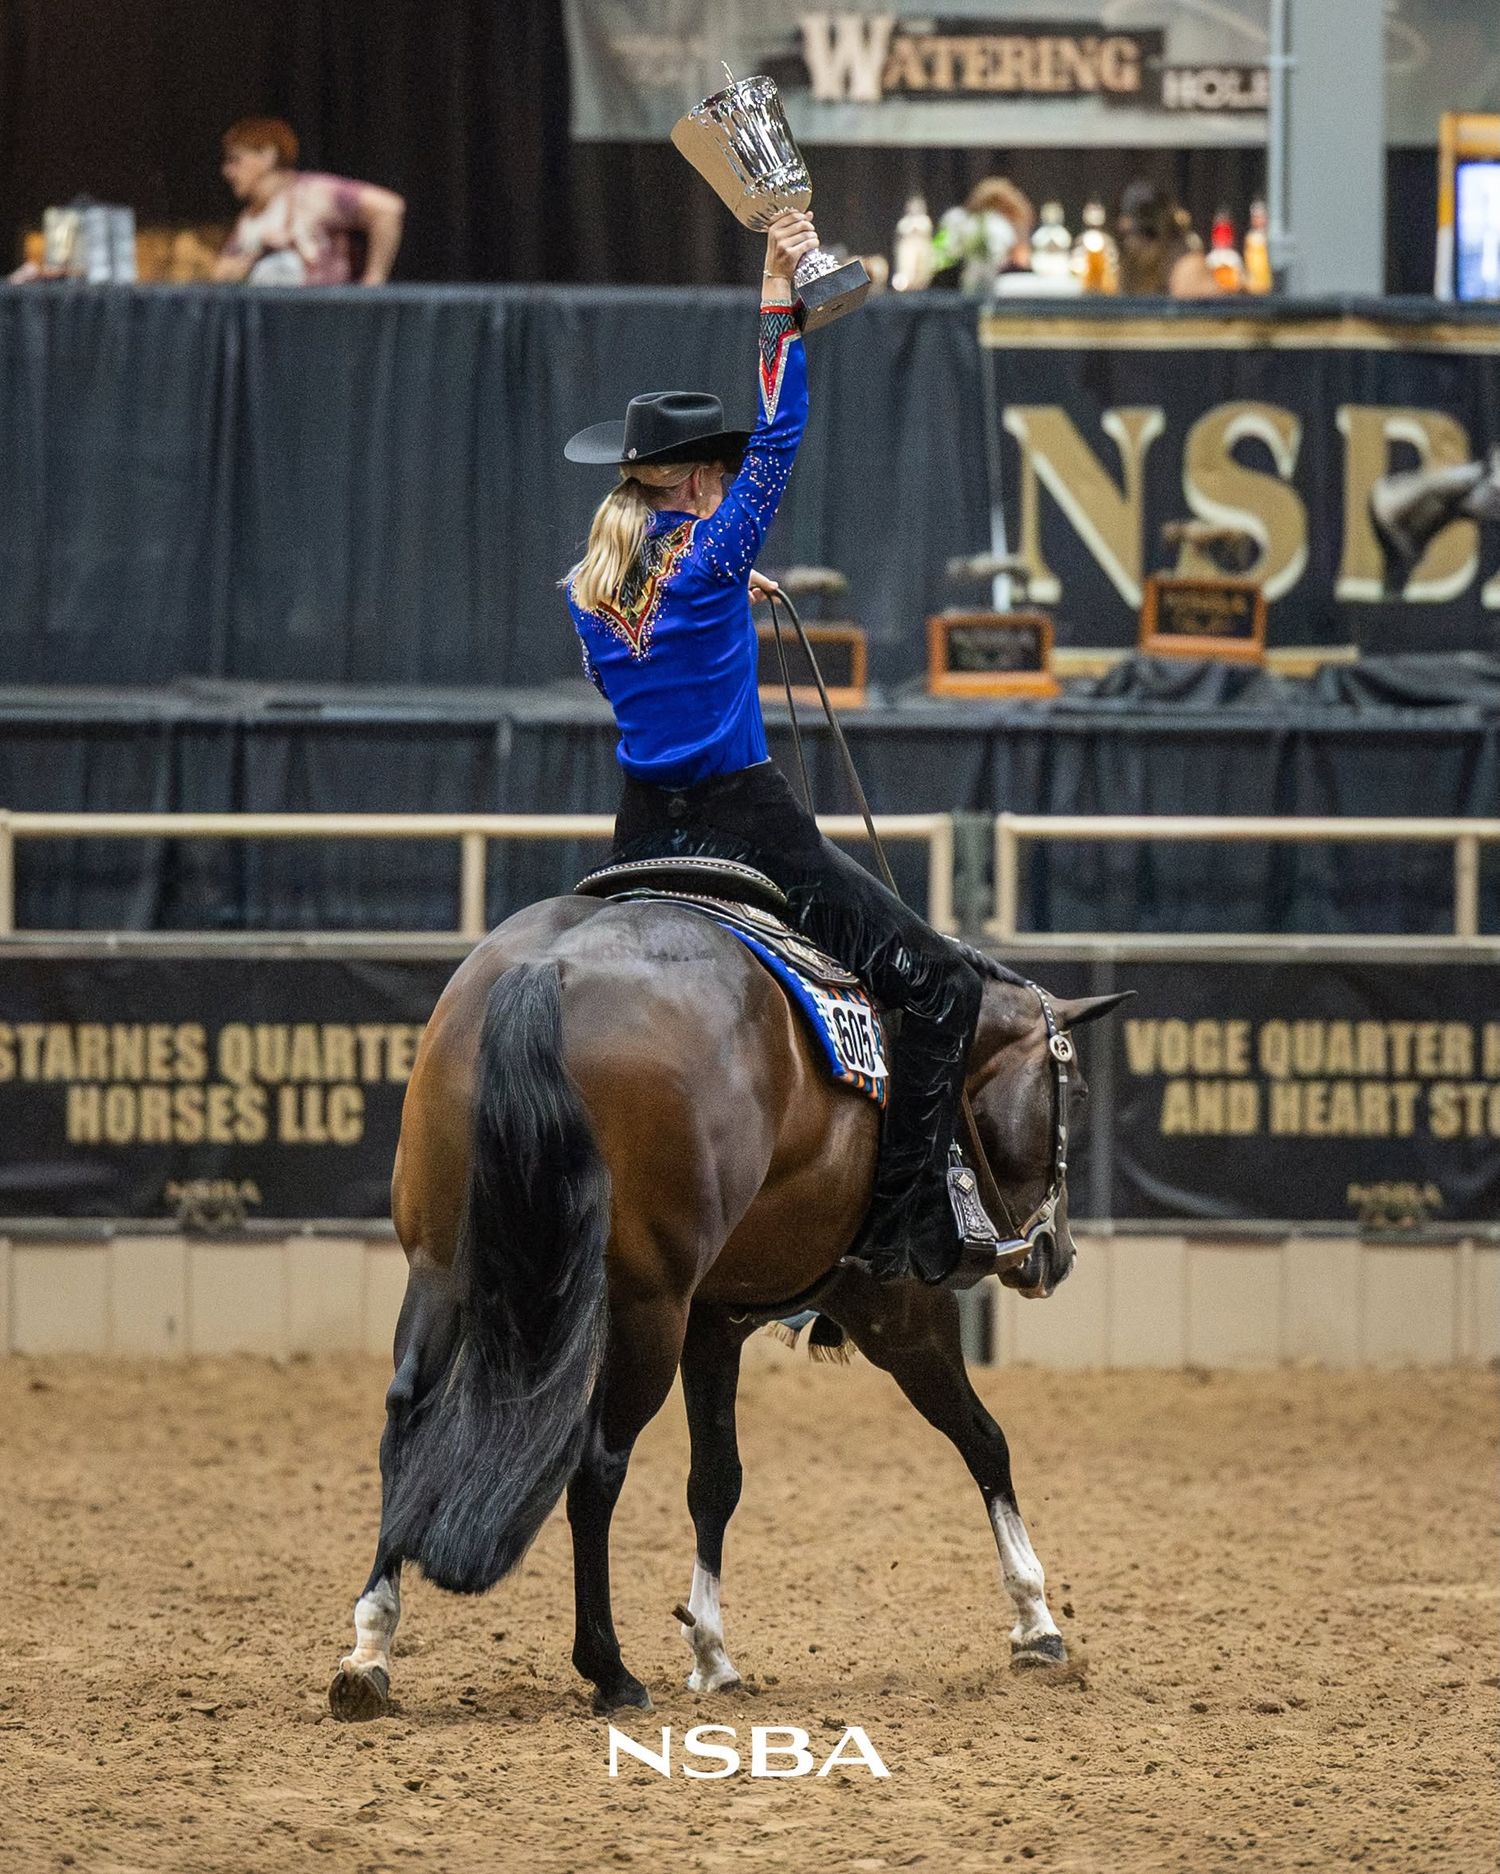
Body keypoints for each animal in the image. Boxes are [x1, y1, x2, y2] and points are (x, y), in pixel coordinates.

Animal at [327, 889, 1126, 1718]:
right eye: (1079, 1095)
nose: (1056, 1254)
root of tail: (548, 970)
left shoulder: (715, 1320)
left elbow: (716, 1478)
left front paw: (711, 1652)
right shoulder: (898, 1312)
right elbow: (983, 1439)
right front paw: (1037, 1623)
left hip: (441, 1273)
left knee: (407, 1421)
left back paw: (370, 1651)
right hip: (648, 1308)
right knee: (597, 1465)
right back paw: (609, 1670)